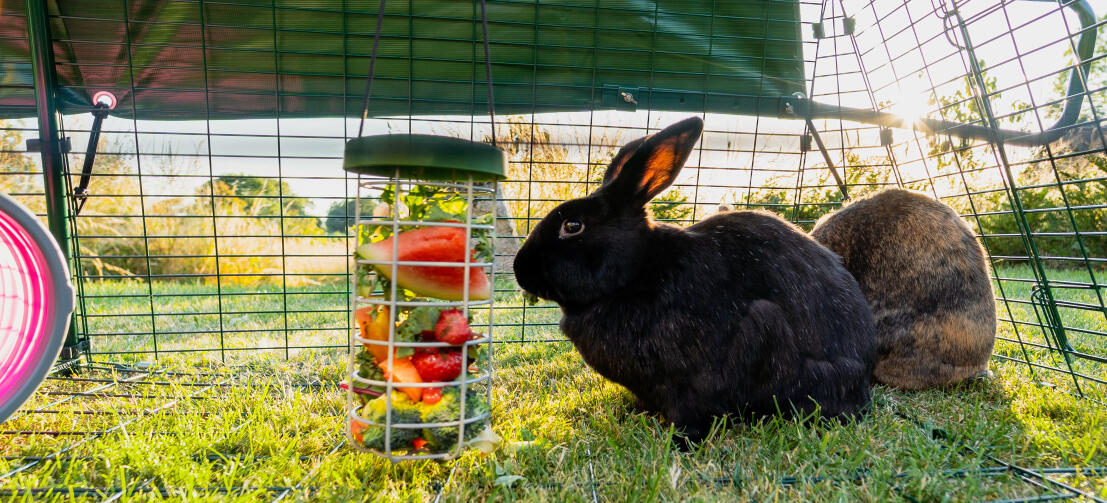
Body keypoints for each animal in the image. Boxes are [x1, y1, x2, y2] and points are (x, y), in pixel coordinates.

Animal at [512, 117, 876, 444]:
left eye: (573, 226)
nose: (519, 269)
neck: (636, 272)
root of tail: (862, 375)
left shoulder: (692, 383)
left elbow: (693, 413)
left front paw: (680, 443)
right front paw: (634, 413)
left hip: (770, 334)